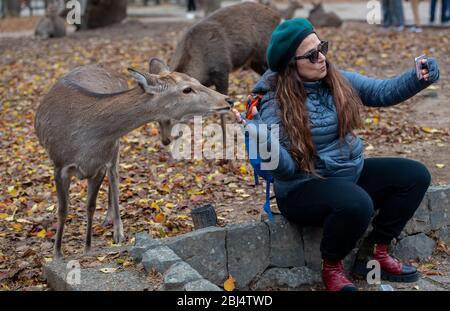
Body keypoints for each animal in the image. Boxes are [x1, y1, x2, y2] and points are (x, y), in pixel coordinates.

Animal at [33, 58, 234, 258]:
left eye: (198, 81)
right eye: (186, 89)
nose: (228, 99)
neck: (84, 142)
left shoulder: (99, 166)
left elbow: (90, 205)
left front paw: (87, 248)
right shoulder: (59, 165)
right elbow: (63, 209)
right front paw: (57, 253)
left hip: (115, 146)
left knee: (114, 175)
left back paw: (116, 229)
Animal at [156, 1, 280, 150]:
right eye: (155, 116)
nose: (165, 141)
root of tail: (277, 15)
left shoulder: (222, 71)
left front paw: (226, 144)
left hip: (265, 52)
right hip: (254, 61)